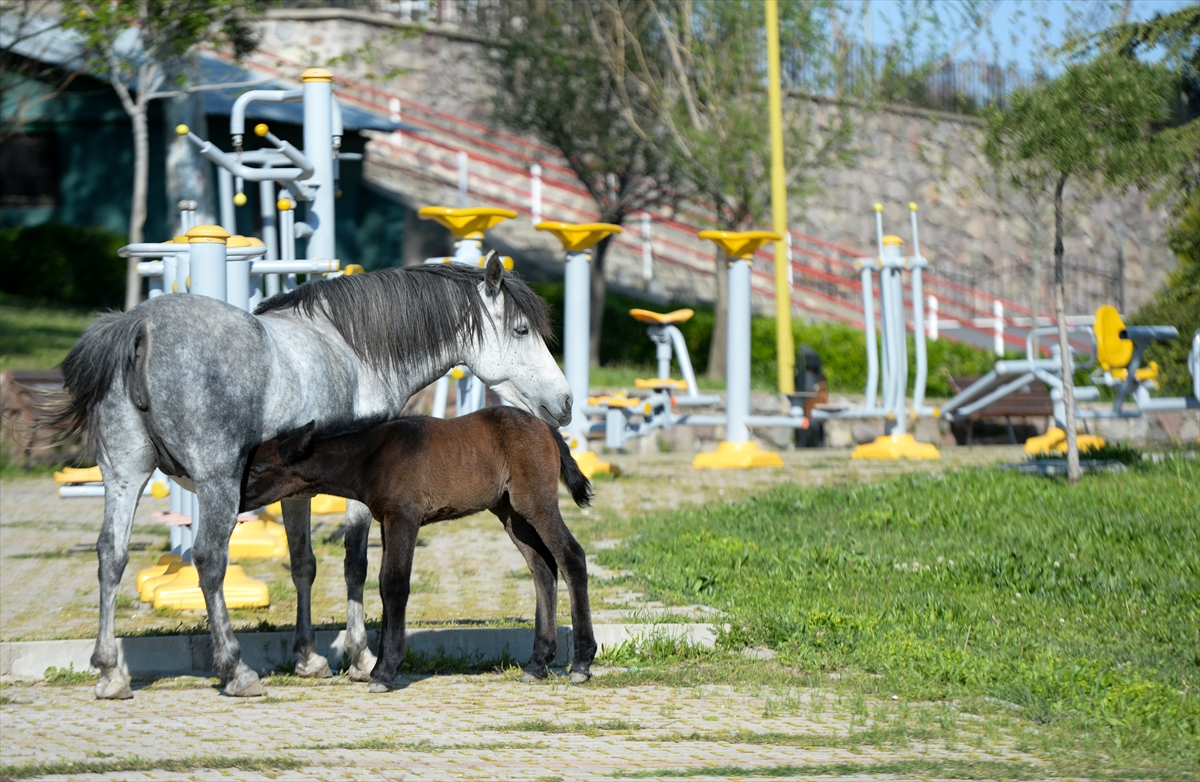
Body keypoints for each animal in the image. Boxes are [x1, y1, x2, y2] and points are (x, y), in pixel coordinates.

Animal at [242, 405, 595, 695]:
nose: (237, 501)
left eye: (258, 469)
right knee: (542, 569)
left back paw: (580, 663)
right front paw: (378, 667)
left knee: (571, 557)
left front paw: (384, 672)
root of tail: (546, 427)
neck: (375, 454)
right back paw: (537, 663)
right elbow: (383, 587)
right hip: (510, 512)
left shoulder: (404, 518)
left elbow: (394, 585)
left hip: (535, 503)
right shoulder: (386, 521)